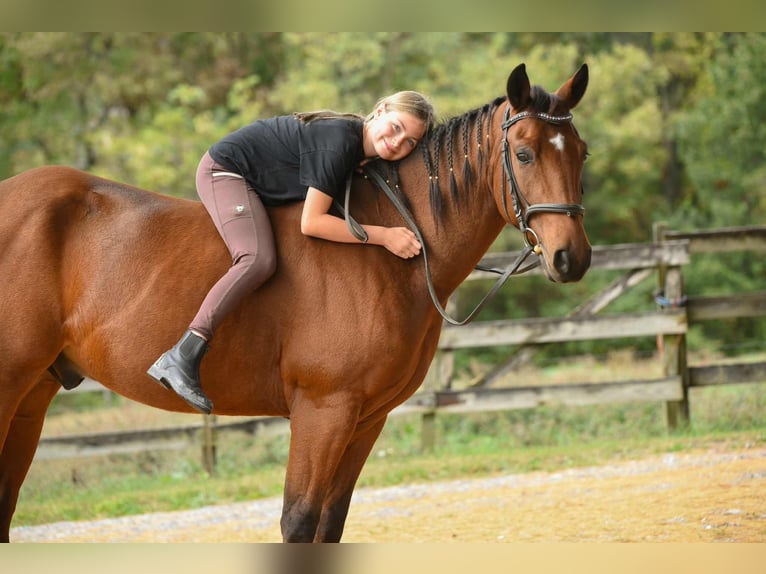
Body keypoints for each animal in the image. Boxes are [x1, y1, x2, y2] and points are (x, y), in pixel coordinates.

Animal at [0, 63, 590, 543]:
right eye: (523, 154)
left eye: (581, 153)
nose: (572, 258)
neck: (385, 252)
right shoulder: (323, 411)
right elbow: (299, 519)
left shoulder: (366, 419)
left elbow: (331, 521)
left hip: (33, 393)